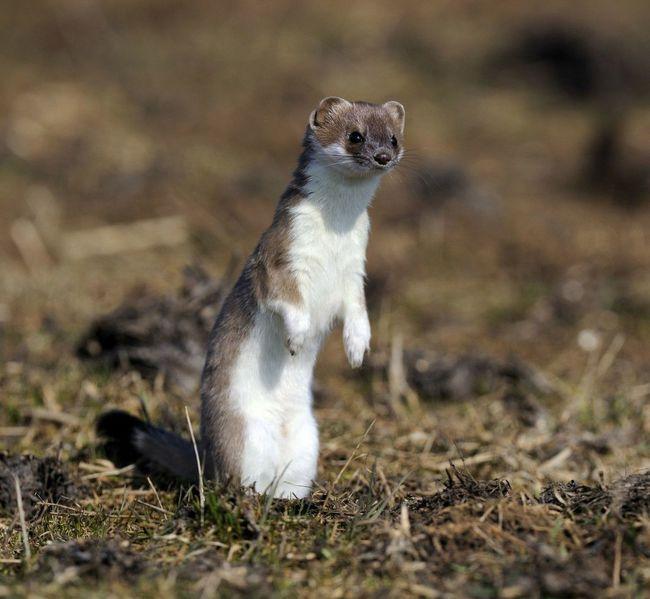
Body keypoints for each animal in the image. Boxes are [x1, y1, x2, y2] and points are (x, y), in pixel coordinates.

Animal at [98, 98, 402, 500]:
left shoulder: (354, 272)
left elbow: (357, 311)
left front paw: (357, 348)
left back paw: (293, 500)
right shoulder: (278, 259)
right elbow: (288, 300)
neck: (332, 243)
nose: (383, 156)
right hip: (240, 432)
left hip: (307, 441)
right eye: (355, 136)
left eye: (394, 138)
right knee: (236, 475)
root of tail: (209, 456)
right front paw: (297, 337)